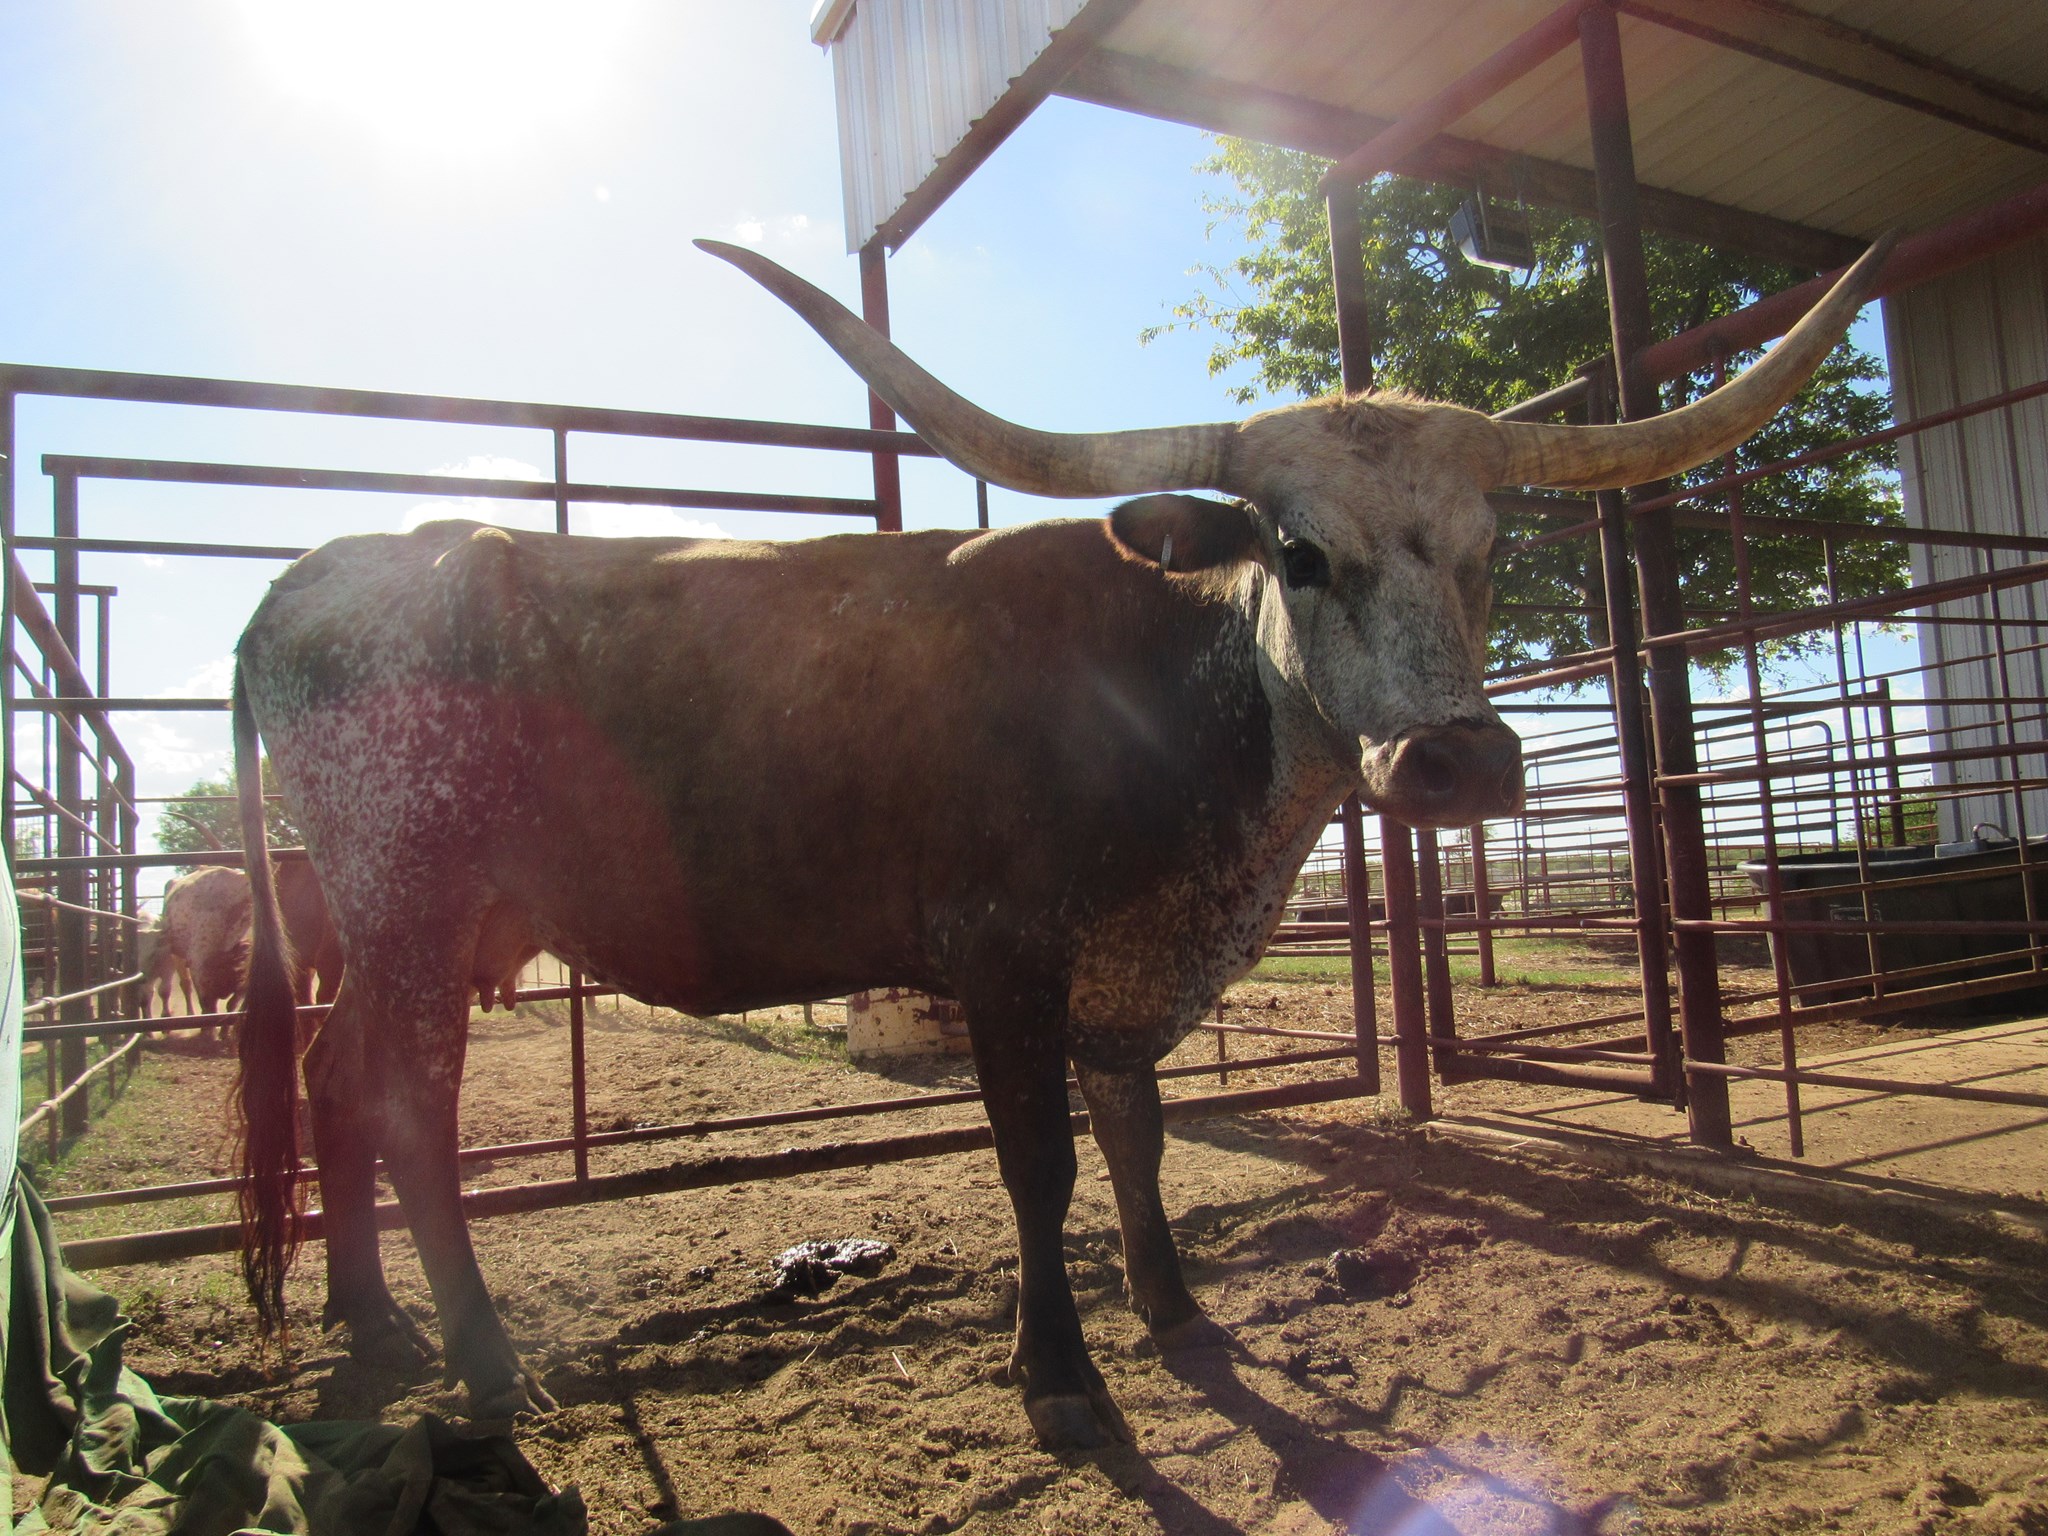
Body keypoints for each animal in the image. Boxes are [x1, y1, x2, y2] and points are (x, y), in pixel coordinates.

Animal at [231, 236, 1890, 1446]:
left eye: (1488, 556)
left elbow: (1136, 1134)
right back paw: (484, 1358)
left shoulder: (1123, 973)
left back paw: (373, 1325)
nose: (1462, 759)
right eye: (1299, 553)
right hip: (412, 895)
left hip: (407, 920)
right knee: (409, 1106)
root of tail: (309, 580)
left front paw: (1177, 1312)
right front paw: (1064, 1375)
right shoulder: (1005, 957)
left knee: (331, 1076)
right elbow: (1039, 1158)